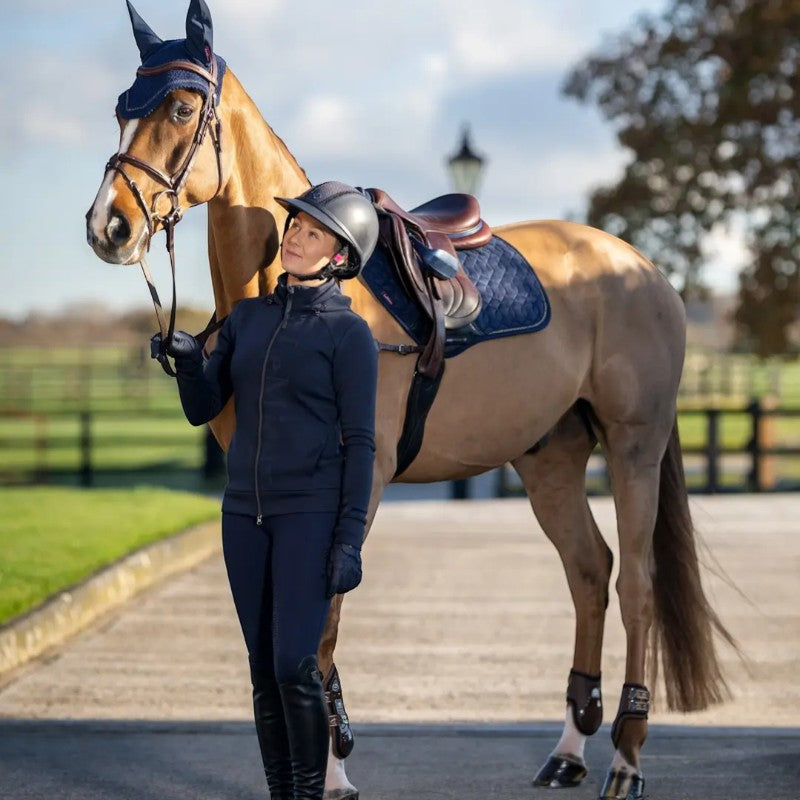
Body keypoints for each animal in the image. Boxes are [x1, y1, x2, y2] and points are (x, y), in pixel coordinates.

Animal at [86, 2, 735, 798]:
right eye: (122, 108)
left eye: (180, 108)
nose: (108, 225)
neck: (299, 300)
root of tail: (642, 267)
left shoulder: (354, 486)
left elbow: (322, 626)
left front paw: (334, 773)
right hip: (550, 459)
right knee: (590, 572)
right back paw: (568, 751)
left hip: (634, 446)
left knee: (639, 582)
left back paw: (626, 760)